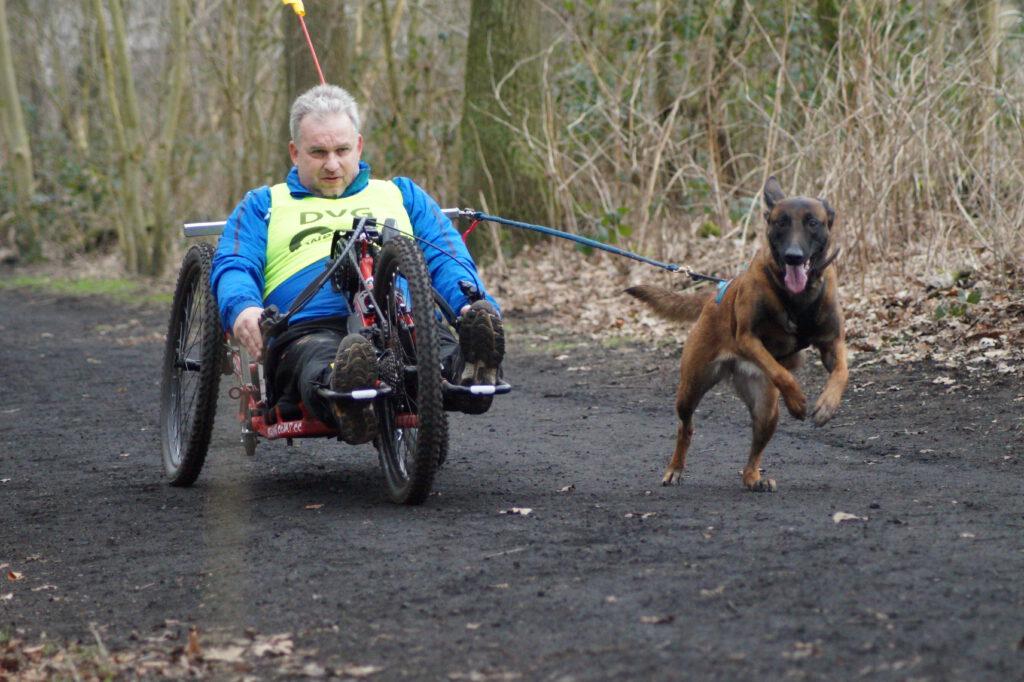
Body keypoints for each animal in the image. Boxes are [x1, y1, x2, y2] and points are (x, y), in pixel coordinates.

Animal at [622, 176, 847, 489]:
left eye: (813, 222)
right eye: (781, 222)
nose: (793, 257)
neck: (796, 297)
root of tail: (713, 295)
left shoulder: (832, 344)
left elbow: (841, 373)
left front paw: (827, 405)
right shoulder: (748, 339)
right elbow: (781, 373)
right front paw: (798, 400)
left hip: (766, 409)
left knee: (753, 454)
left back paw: (754, 478)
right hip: (690, 388)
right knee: (685, 427)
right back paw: (675, 468)